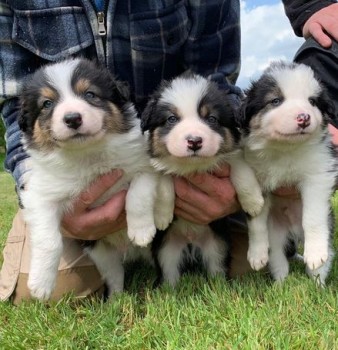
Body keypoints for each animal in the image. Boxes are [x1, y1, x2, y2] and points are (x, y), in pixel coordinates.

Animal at [18, 58, 174, 300]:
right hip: (100, 253)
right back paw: (115, 301)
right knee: (115, 275)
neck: (89, 155)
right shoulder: (40, 196)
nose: (72, 118)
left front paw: (140, 231)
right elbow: (48, 240)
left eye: (90, 94)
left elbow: (137, 197)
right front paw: (41, 285)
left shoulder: (143, 166)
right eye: (47, 104)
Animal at [141, 72, 262, 286]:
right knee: (169, 273)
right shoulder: (156, 164)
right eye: (171, 119)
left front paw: (254, 203)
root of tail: (191, 241)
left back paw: (220, 288)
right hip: (166, 250)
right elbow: (164, 182)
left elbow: (242, 173)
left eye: (211, 119)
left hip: (217, 245)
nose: (194, 141)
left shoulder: (233, 156)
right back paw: (167, 290)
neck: (192, 166)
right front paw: (162, 216)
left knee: (217, 268)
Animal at [239, 60, 336, 284]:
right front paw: (256, 254)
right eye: (275, 101)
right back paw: (280, 283)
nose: (304, 118)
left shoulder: (318, 176)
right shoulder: (258, 182)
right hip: (276, 235)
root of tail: (293, 231)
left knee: (326, 257)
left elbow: (312, 216)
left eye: (312, 101)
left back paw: (317, 281)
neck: (285, 149)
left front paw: (315, 254)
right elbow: (255, 219)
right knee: (277, 256)